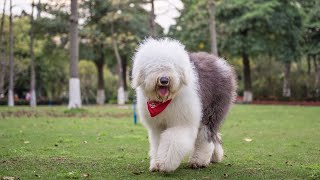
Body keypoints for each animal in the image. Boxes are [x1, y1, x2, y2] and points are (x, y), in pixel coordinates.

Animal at [131, 37, 236, 172]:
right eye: (153, 66)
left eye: (172, 66)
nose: (164, 80)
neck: (164, 101)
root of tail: (220, 62)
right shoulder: (157, 126)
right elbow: (157, 143)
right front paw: (156, 163)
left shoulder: (182, 121)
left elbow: (173, 140)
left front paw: (165, 162)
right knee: (214, 136)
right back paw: (215, 156)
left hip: (212, 109)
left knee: (205, 136)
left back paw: (198, 161)